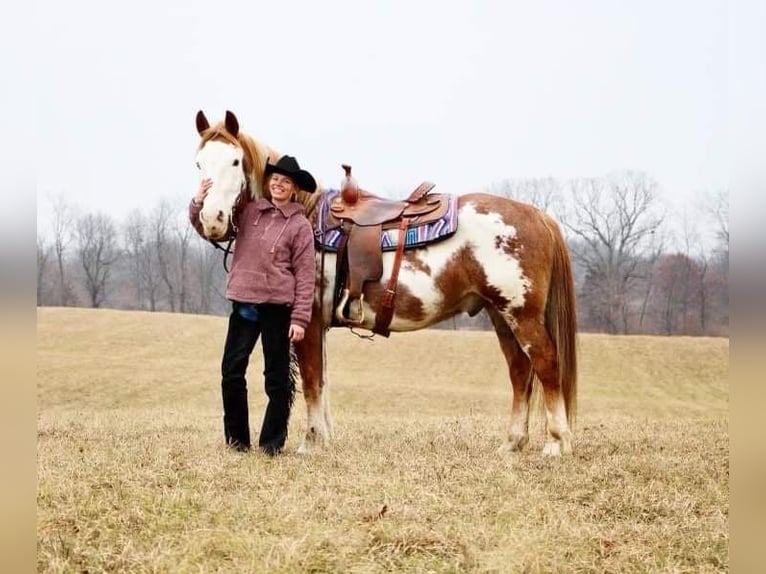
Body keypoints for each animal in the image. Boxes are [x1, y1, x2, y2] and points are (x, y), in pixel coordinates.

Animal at [195, 109, 580, 460]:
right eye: (199, 163)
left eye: (234, 161)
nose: (211, 219)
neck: (306, 216)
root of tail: (536, 215)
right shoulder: (319, 328)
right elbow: (322, 381)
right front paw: (326, 439)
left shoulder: (308, 324)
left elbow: (311, 381)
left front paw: (311, 442)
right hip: (501, 316)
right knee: (520, 371)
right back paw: (513, 443)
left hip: (521, 315)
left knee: (546, 365)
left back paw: (556, 443)